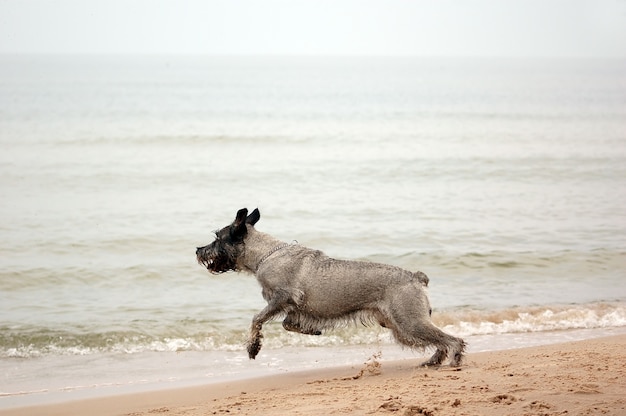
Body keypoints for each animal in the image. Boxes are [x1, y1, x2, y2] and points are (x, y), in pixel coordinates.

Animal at [195, 208, 464, 368]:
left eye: (217, 237)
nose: (198, 250)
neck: (265, 254)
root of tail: (416, 278)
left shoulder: (281, 298)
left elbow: (257, 319)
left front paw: (253, 347)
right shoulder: (293, 307)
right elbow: (288, 324)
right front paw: (310, 331)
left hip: (409, 322)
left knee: (452, 340)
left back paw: (455, 359)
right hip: (400, 326)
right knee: (441, 340)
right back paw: (434, 361)